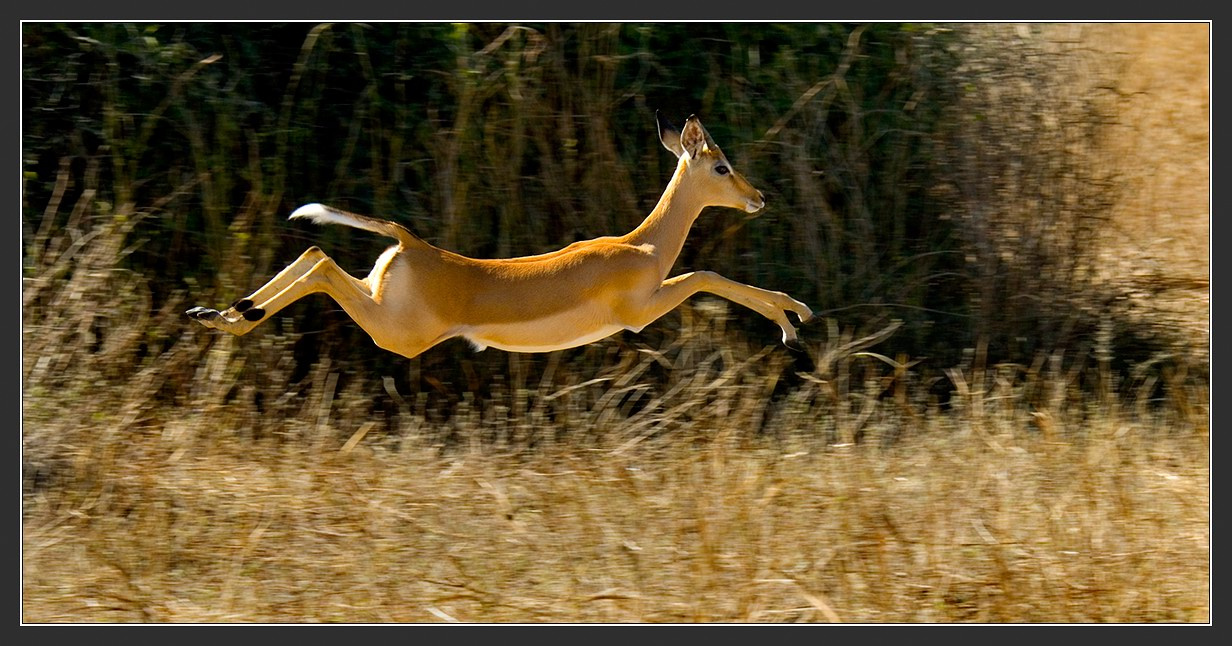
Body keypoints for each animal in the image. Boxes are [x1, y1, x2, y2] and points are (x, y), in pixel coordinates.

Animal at [186, 113, 815, 359]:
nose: (759, 198)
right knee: (318, 261)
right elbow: (708, 273)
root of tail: (413, 244)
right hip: (396, 333)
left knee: (314, 248)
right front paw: (793, 318)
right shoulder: (642, 309)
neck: (643, 245)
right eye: (721, 166)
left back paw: (218, 314)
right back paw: (228, 316)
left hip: (379, 304)